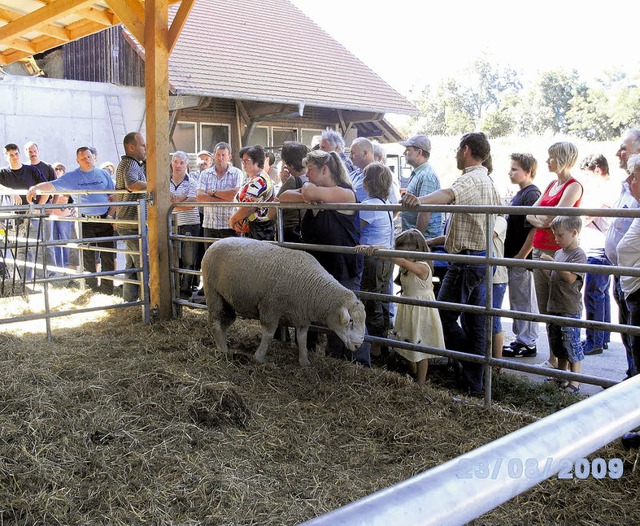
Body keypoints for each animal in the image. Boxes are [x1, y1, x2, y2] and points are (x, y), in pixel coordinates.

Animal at [202, 239, 368, 368]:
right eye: (351, 321)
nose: (358, 345)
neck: (314, 286)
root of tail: (214, 243)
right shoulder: (270, 308)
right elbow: (268, 335)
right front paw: (259, 357)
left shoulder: (302, 317)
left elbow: (302, 339)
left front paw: (304, 361)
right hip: (212, 292)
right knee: (215, 322)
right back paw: (222, 349)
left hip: (226, 299)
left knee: (226, 320)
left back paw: (223, 344)